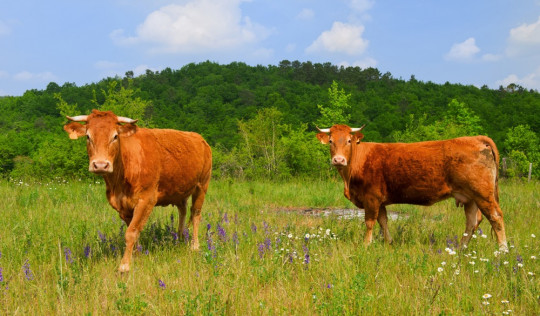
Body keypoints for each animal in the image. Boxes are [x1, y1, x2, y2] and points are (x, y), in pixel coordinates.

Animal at [64, 109, 212, 272]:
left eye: (115, 136)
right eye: (88, 136)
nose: (101, 165)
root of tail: (199, 138)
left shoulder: (146, 200)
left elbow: (131, 232)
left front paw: (124, 266)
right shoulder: (123, 206)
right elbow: (134, 232)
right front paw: (138, 257)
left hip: (202, 185)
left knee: (196, 214)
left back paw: (194, 246)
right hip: (179, 191)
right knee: (183, 211)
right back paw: (179, 238)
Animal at [316, 124, 506, 251]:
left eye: (349, 141)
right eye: (331, 141)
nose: (338, 160)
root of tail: (476, 138)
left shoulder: (371, 198)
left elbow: (370, 222)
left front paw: (365, 245)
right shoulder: (380, 201)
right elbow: (383, 221)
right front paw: (389, 242)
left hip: (483, 194)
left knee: (495, 217)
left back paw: (502, 250)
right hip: (470, 197)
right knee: (472, 221)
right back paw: (460, 249)